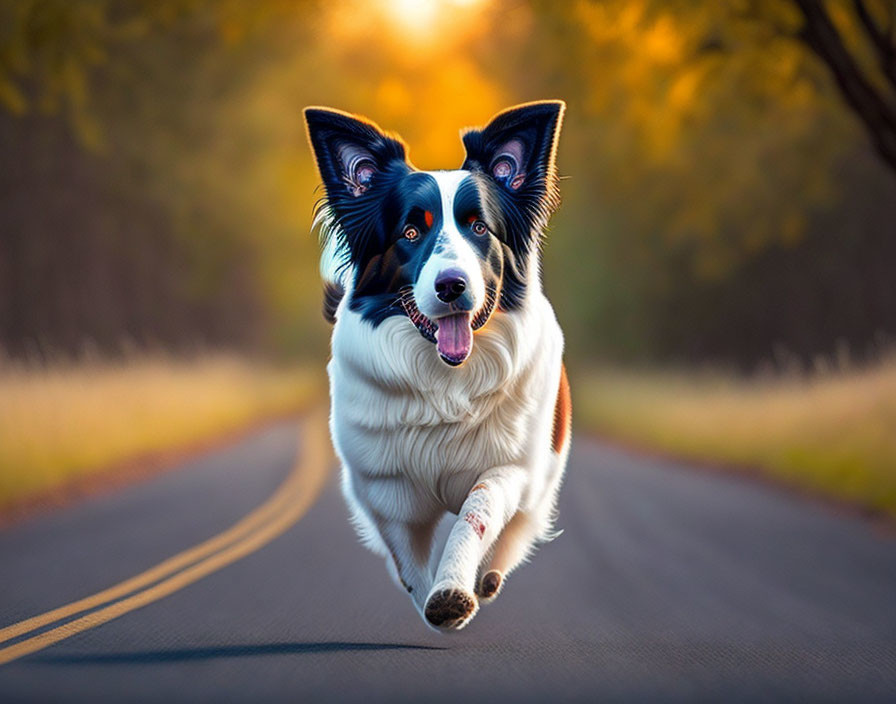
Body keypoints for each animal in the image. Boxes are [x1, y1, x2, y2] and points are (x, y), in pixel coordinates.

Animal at [304, 100, 572, 632]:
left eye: (479, 228)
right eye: (410, 232)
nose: (451, 286)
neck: (446, 381)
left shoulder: (510, 466)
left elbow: (478, 513)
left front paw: (453, 589)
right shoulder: (385, 486)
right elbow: (406, 558)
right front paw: (431, 596)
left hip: (543, 469)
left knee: (521, 525)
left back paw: (488, 576)